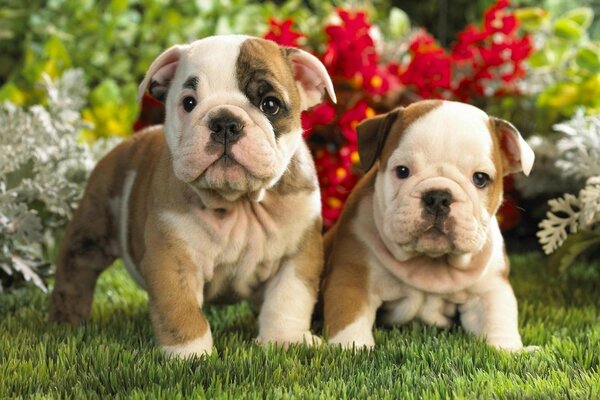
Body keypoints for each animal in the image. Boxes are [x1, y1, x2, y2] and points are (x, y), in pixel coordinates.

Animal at [47, 35, 338, 360]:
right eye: (189, 103)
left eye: (270, 104)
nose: (225, 122)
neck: (238, 202)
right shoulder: (172, 261)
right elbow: (180, 311)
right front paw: (190, 354)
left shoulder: (297, 257)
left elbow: (287, 301)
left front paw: (285, 340)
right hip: (90, 232)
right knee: (75, 274)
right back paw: (67, 321)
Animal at [324, 99, 540, 350]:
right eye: (402, 171)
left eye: (480, 178)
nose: (438, 197)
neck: (430, 261)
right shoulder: (354, 277)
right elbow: (350, 317)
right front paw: (352, 347)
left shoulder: (490, 288)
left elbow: (498, 318)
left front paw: (509, 350)